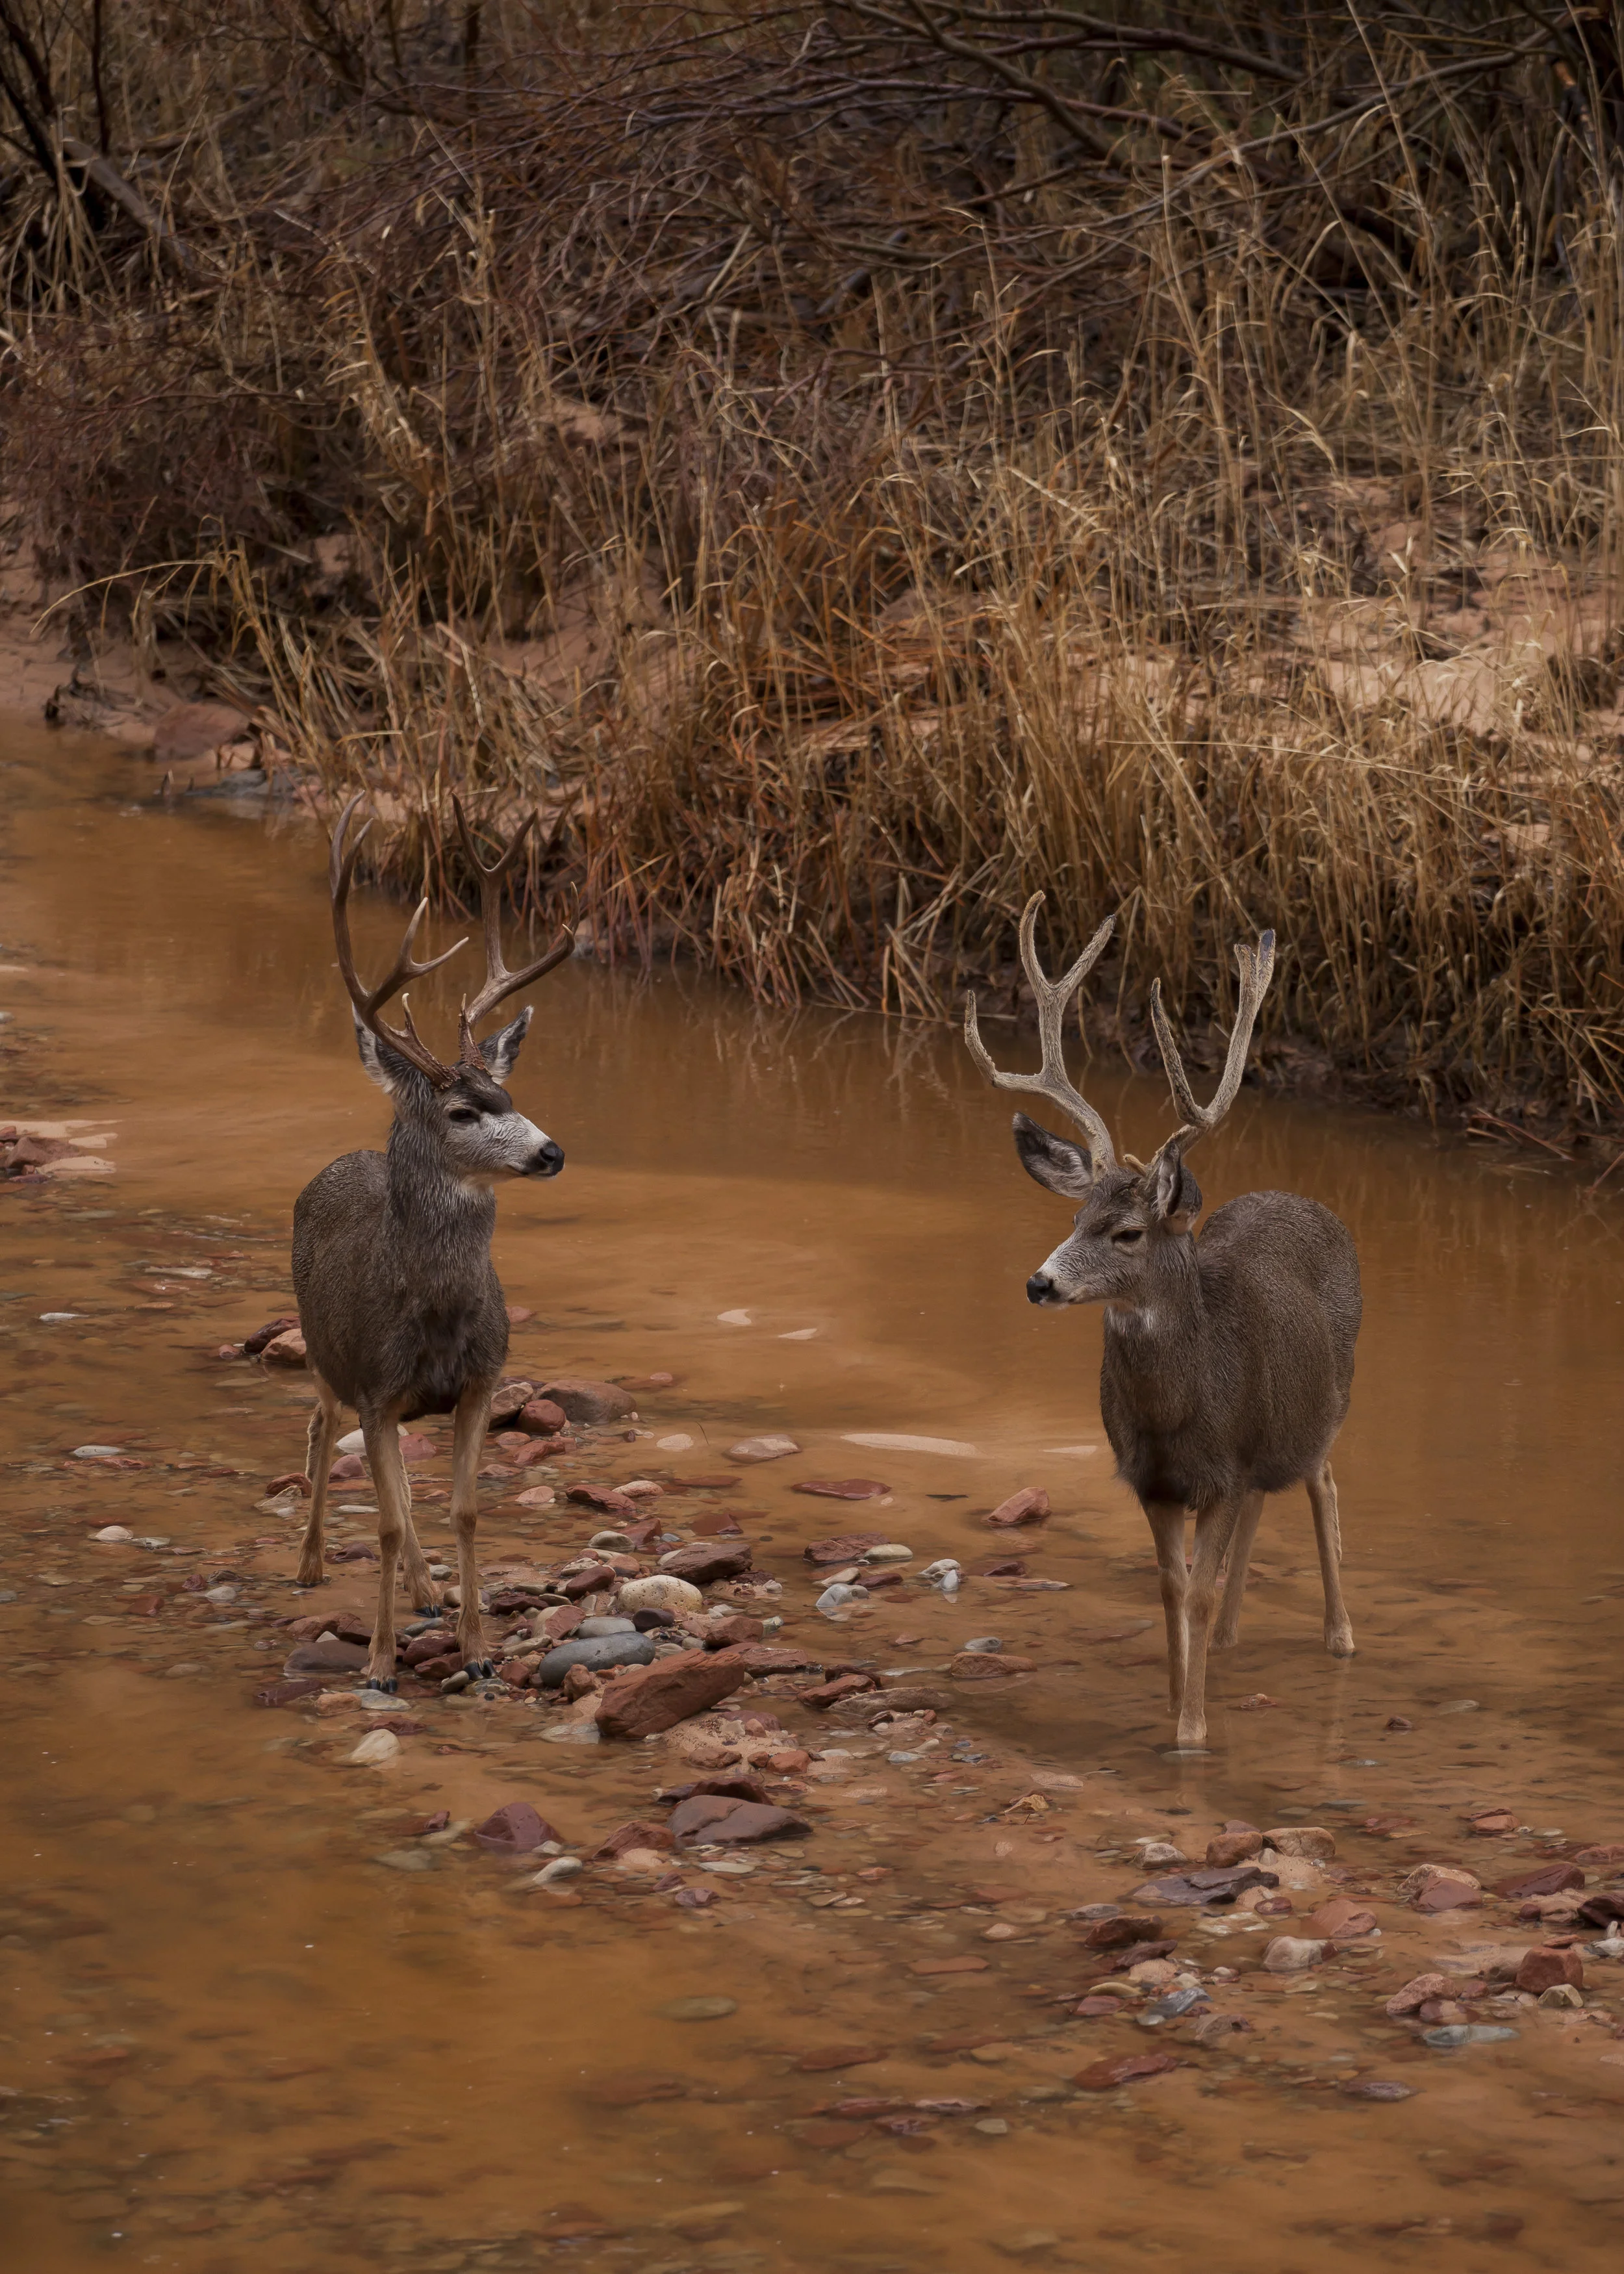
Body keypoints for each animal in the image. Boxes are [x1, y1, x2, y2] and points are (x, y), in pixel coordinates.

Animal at [289, 793, 572, 1691]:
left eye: (509, 1092)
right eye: (461, 1110)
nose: (551, 1151)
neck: (440, 1315)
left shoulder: (482, 1380)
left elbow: (462, 1507)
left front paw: (478, 1649)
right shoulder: (376, 1383)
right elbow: (382, 1522)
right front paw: (379, 1663)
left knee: (403, 1486)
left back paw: (426, 1589)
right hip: (323, 1350)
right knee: (321, 1428)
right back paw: (309, 1562)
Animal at [965, 897, 1360, 1749]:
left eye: (1126, 1232)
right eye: (1074, 1216)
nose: (1039, 1281)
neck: (1178, 1411)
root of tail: (1304, 1200)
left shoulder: (1219, 1469)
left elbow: (1197, 1591)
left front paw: (1191, 1732)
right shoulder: (1156, 1479)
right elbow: (1173, 1590)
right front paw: (1174, 1703)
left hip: (1329, 1403)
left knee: (1322, 1482)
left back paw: (1341, 1635)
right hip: (1262, 1448)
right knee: (1263, 1505)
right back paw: (1234, 1639)